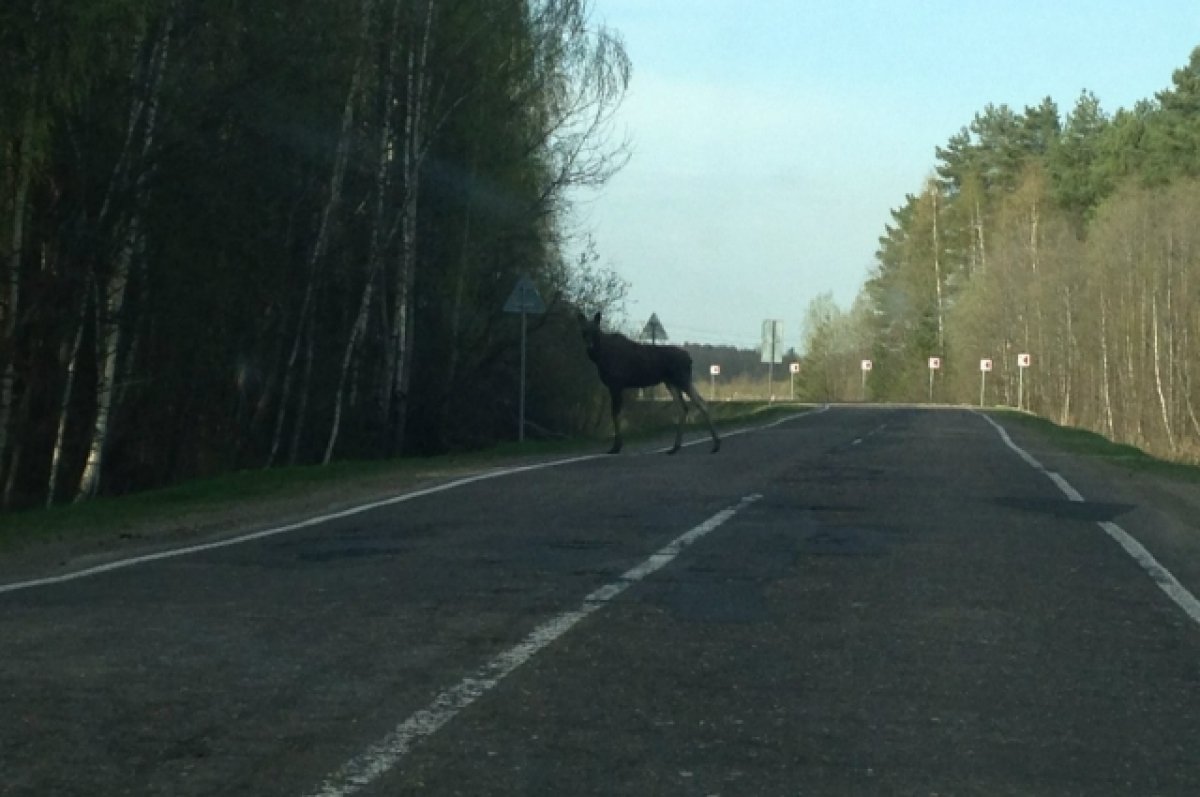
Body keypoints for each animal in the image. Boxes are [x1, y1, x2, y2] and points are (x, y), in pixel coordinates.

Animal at [576, 314, 715, 458]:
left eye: (595, 332)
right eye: (583, 331)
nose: (589, 346)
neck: (600, 358)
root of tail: (690, 359)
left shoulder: (616, 384)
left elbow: (615, 413)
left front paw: (616, 446)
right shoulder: (616, 386)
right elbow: (617, 413)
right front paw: (617, 445)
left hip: (682, 379)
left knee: (701, 402)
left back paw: (716, 445)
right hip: (671, 382)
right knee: (684, 407)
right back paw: (675, 447)